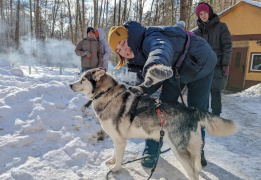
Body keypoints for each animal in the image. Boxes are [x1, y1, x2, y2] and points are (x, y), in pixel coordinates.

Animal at [69, 67, 238, 180]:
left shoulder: (121, 140)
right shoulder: (116, 138)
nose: (70, 85)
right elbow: (115, 153)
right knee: (196, 167)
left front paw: (115, 168)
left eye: (83, 79)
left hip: (179, 151)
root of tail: (191, 110)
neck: (109, 96)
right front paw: (112, 160)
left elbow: (119, 158)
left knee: (192, 173)